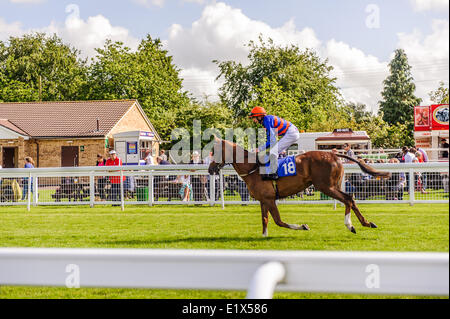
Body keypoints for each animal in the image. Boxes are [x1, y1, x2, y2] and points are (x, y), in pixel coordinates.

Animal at [209, 139, 392, 236]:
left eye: (214, 152)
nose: (210, 169)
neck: (253, 168)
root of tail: (333, 154)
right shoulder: (263, 200)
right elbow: (265, 220)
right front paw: (263, 236)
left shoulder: (269, 198)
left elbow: (278, 221)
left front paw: (303, 226)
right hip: (332, 185)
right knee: (350, 199)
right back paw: (365, 223)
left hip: (325, 186)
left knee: (347, 198)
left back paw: (351, 225)